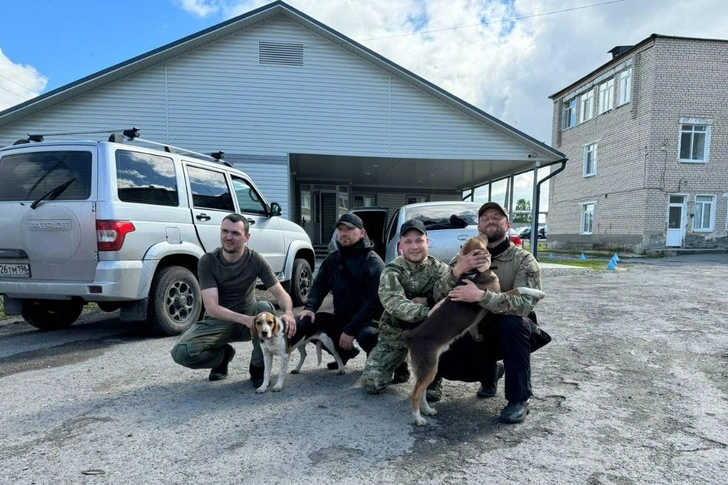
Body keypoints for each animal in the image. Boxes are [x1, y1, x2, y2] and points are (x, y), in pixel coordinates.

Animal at [400, 234, 544, 424]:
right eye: (479, 238)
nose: (484, 234)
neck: (474, 273)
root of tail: (411, 336)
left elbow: (475, 325)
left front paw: (476, 335)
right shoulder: (497, 295)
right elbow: (519, 289)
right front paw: (537, 293)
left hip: (424, 369)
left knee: (421, 392)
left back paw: (428, 410)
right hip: (429, 367)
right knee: (415, 394)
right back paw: (419, 418)